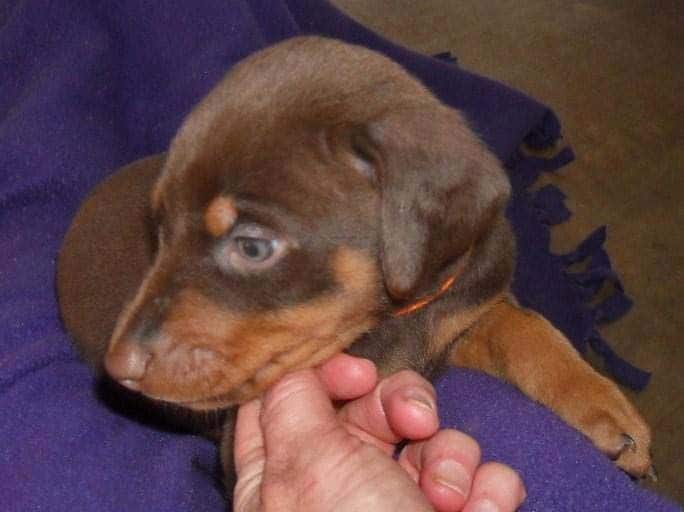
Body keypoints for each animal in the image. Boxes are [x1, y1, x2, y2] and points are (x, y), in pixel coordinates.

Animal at [57, 35, 652, 492]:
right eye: (159, 231)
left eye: (252, 247)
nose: (118, 366)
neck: (398, 315)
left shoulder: (464, 305)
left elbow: (528, 328)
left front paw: (609, 412)